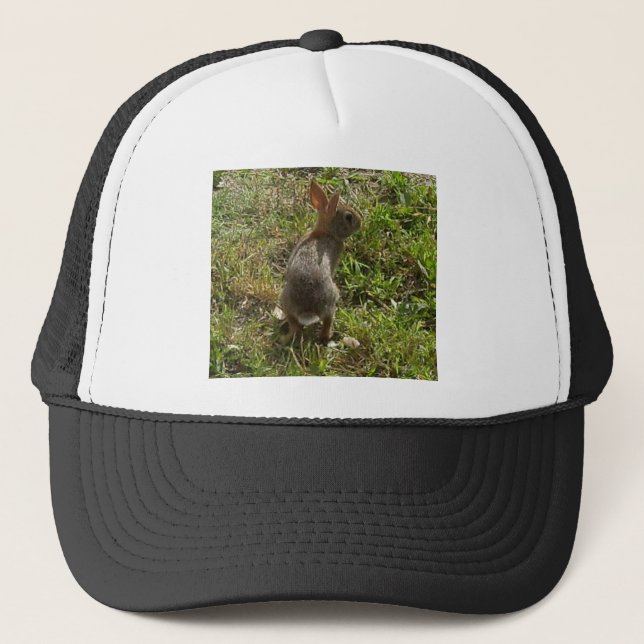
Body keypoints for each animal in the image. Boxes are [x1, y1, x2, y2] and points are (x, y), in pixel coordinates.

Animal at [279, 179, 362, 343]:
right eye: (349, 217)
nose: (360, 222)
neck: (326, 232)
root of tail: (309, 310)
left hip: (285, 302)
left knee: (295, 328)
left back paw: (284, 338)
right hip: (331, 300)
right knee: (327, 322)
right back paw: (329, 335)